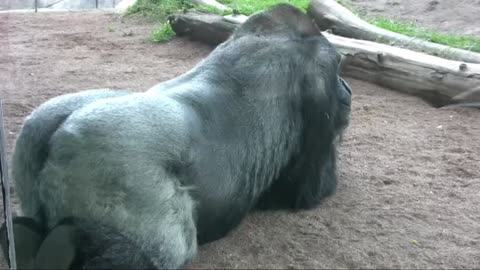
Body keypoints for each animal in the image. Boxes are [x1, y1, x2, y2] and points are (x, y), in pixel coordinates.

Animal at [0, 3, 352, 268]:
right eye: (339, 75)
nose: (347, 90)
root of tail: (54, 134)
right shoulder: (319, 78)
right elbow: (309, 189)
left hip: (31, 138)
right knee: (159, 252)